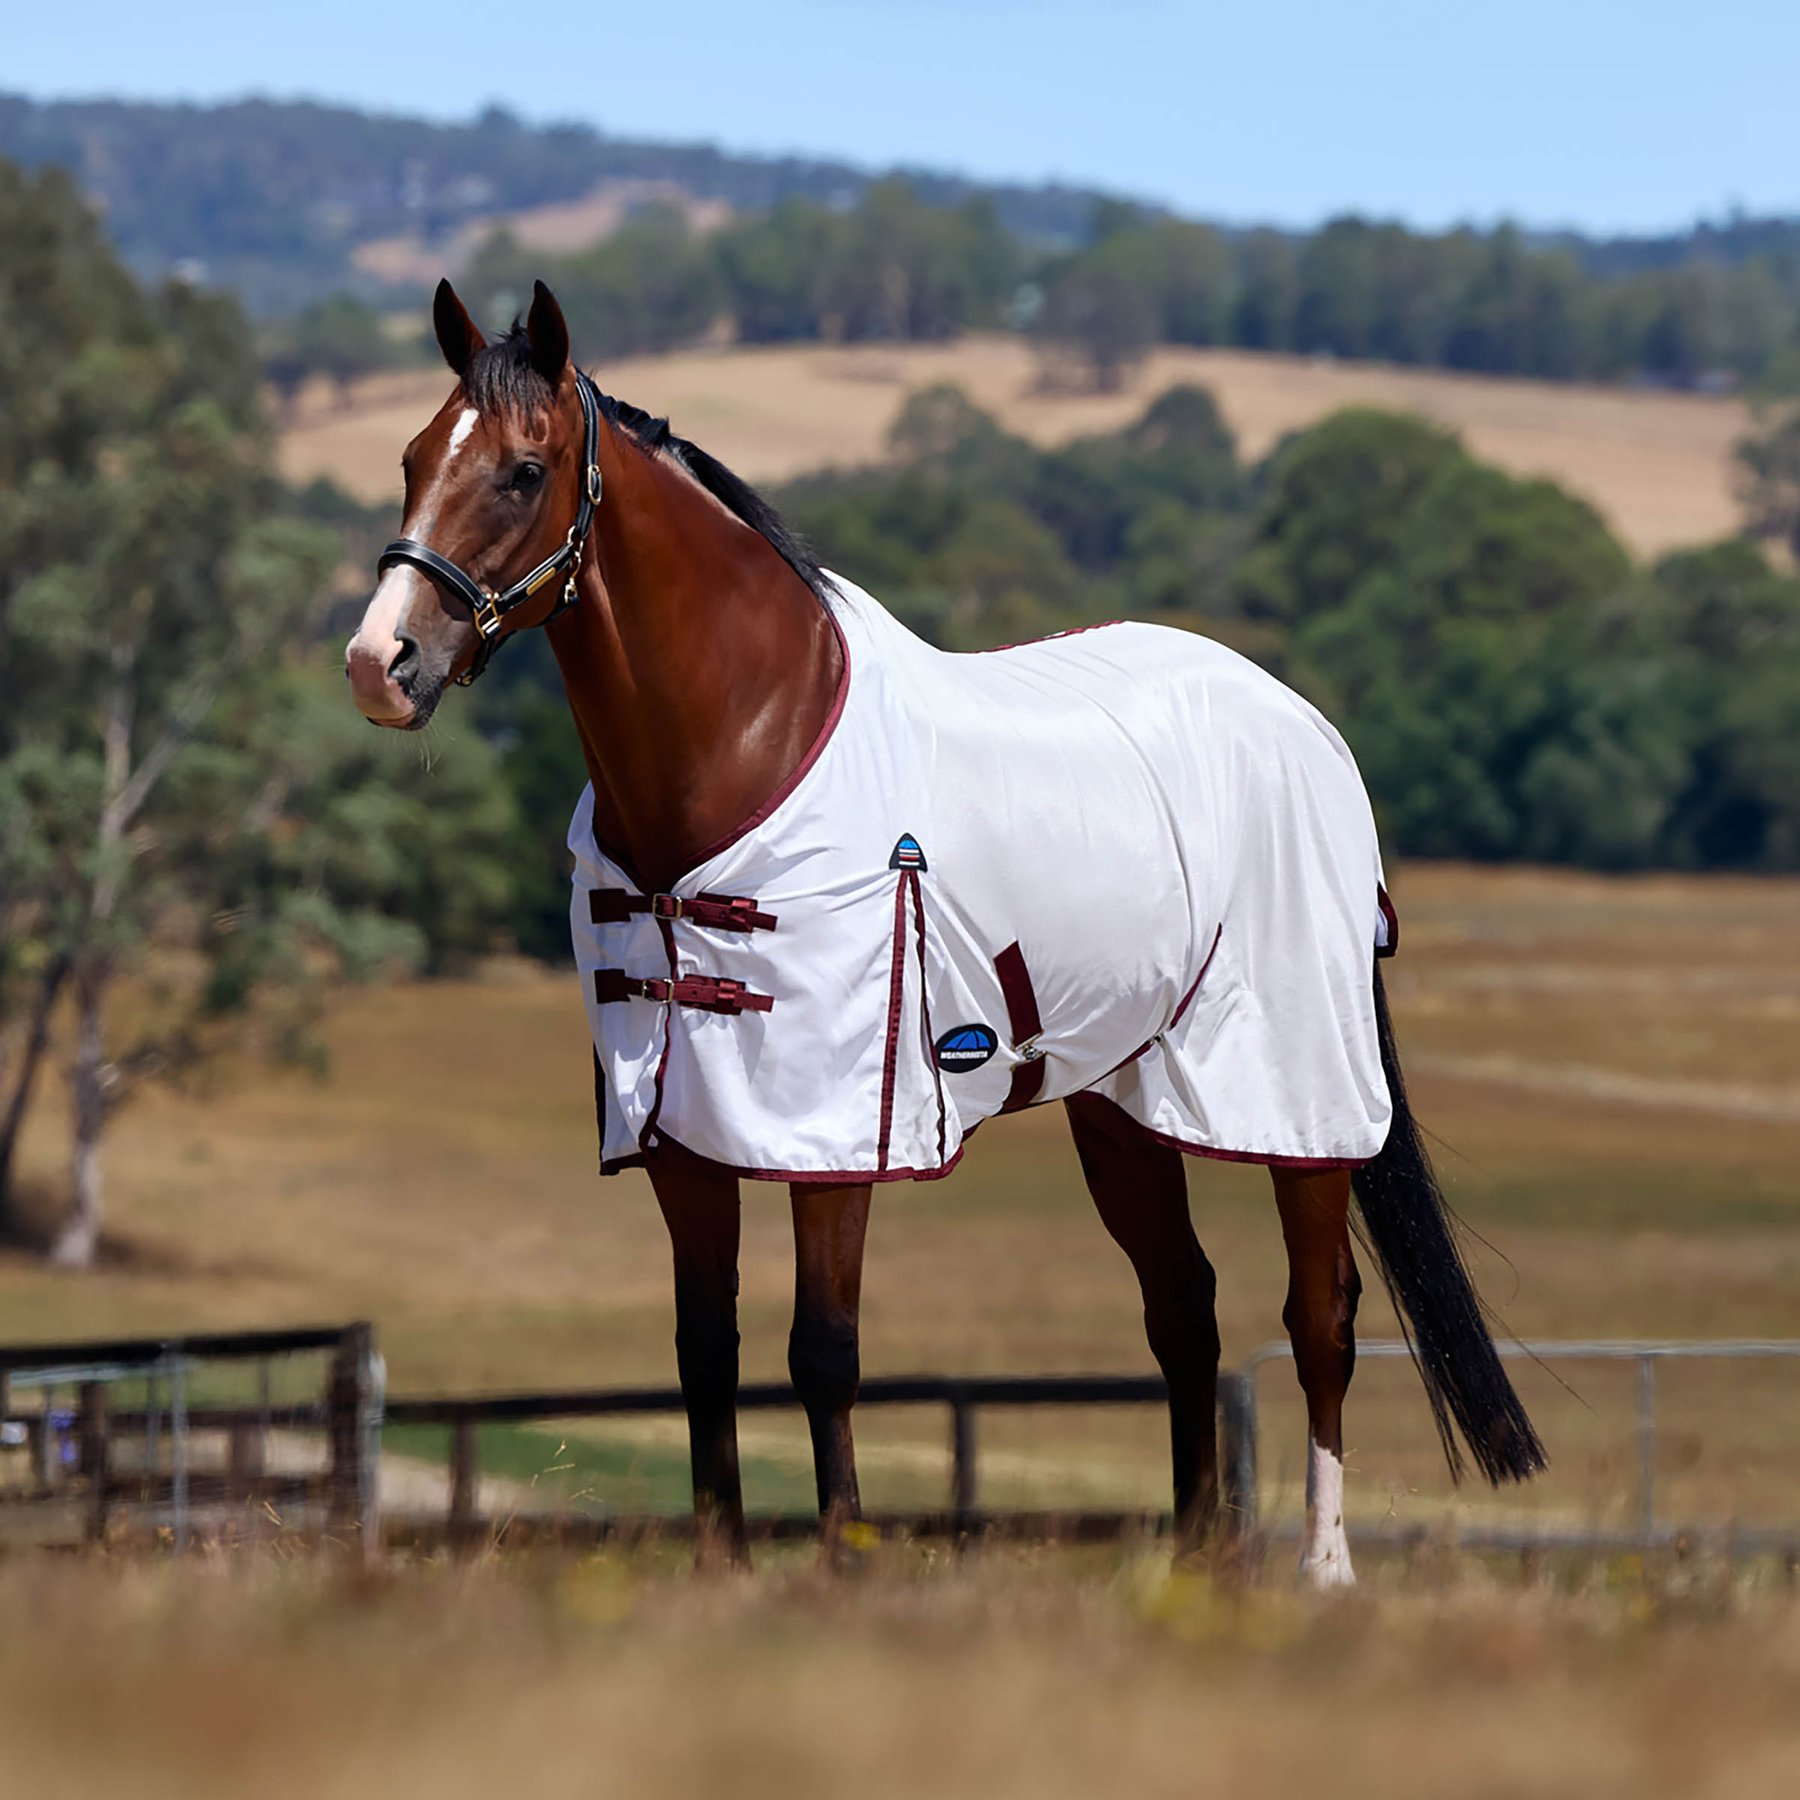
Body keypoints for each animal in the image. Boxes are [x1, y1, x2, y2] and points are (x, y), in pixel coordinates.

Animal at [346, 280, 1545, 1584]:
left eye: (522, 472)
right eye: (412, 457)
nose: (379, 662)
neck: (752, 737)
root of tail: (1303, 725)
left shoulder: (833, 1126)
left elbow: (822, 1348)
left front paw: (840, 1565)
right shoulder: (679, 1131)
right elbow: (703, 1347)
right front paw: (722, 1575)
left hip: (1295, 1094)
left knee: (1317, 1315)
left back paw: (1322, 1568)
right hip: (1121, 1101)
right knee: (1184, 1309)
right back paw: (1190, 1566)